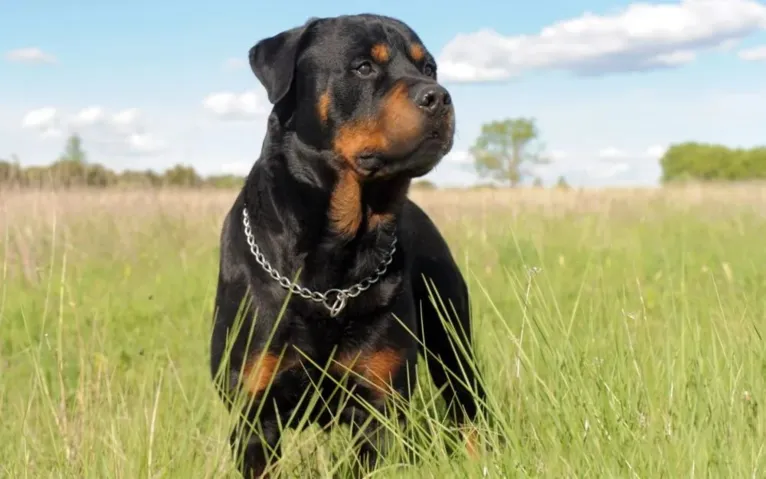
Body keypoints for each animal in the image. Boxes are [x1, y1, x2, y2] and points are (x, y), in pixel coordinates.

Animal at [210, 13, 486, 478]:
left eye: (429, 68)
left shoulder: (378, 404)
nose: (439, 96)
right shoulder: (254, 412)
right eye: (363, 67)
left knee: (469, 409)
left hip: (452, 337)